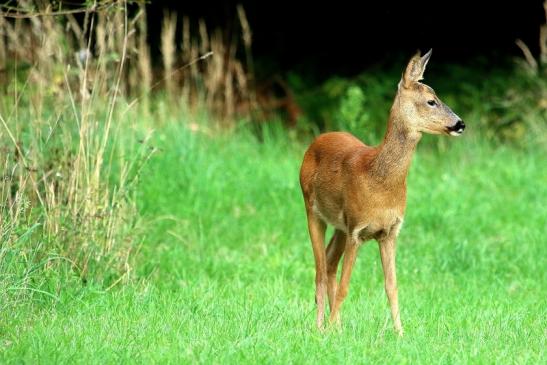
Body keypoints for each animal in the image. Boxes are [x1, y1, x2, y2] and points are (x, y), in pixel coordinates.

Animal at [300, 49, 466, 334]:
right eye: (431, 101)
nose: (460, 123)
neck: (379, 181)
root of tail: (316, 141)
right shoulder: (356, 230)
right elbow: (345, 286)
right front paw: (330, 329)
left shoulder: (390, 231)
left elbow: (392, 287)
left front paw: (400, 333)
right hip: (312, 209)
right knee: (320, 269)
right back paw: (322, 326)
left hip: (340, 226)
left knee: (330, 264)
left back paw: (337, 326)